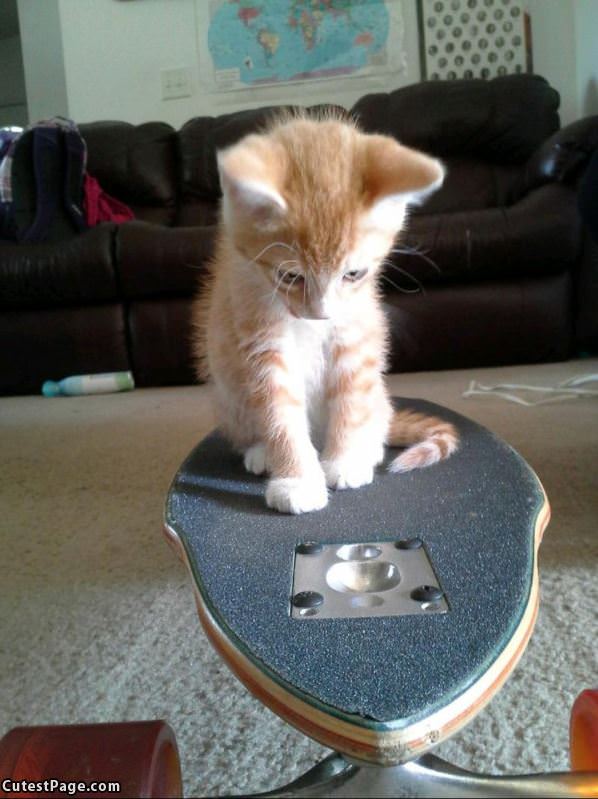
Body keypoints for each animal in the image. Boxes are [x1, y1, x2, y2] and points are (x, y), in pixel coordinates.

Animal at [192, 111, 460, 512]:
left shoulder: (354, 331)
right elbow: (279, 413)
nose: (322, 313)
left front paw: (345, 459)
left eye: (353, 274)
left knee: (375, 415)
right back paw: (261, 452)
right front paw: (297, 480)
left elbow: (350, 396)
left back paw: (366, 447)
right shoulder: (258, 339)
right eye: (290, 276)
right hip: (228, 395)